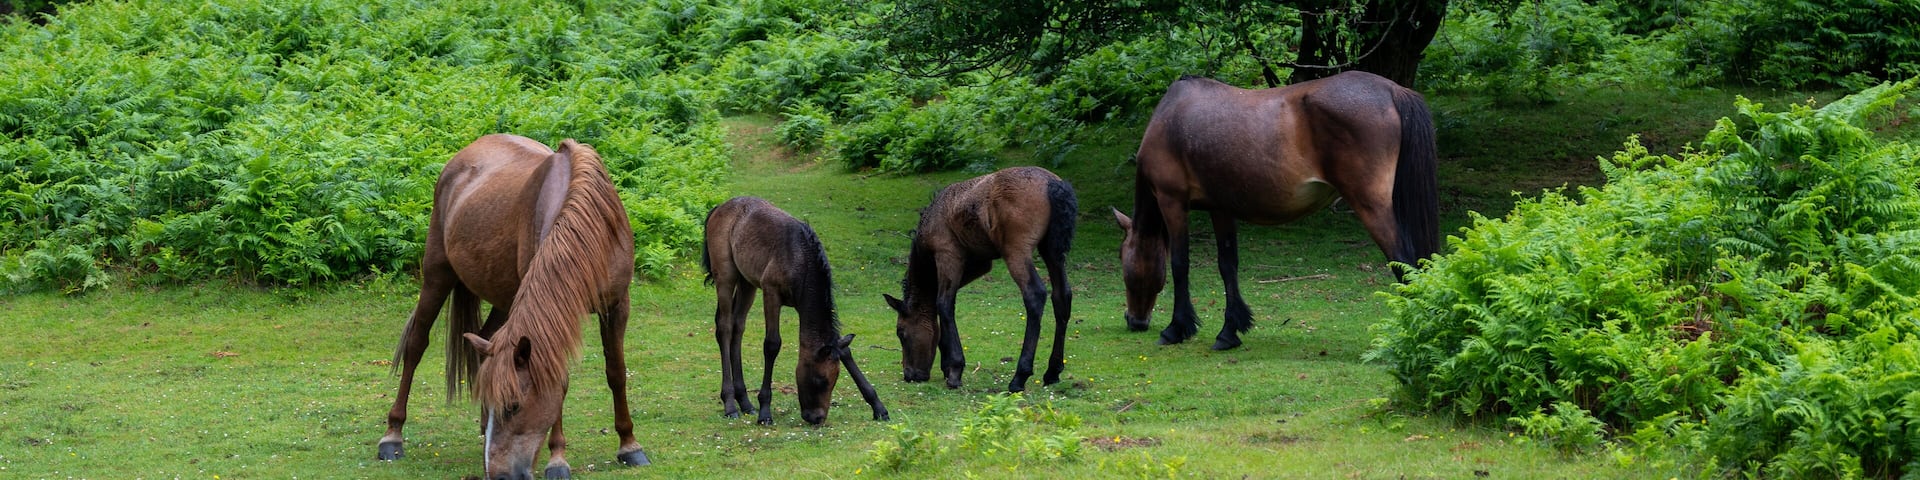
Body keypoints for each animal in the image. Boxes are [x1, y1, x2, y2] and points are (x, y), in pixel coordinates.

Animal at [375, 134, 650, 479]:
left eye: (513, 406)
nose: (499, 474)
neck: (590, 232)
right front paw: (557, 459)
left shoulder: (616, 305)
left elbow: (616, 372)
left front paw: (629, 444)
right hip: (437, 275)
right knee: (415, 345)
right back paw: (392, 436)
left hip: (505, 300)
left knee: (484, 341)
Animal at [700, 196, 889, 425]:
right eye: (820, 380)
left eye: (834, 380)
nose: (816, 418)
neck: (800, 259)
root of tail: (719, 207)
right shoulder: (771, 293)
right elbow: (772, 345)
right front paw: (765, 411)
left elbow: (844, 350)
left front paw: (878, 406)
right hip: (726, 274)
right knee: (725, 327)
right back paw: (730, 404)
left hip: (747, 282)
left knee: (738, 326)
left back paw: (744, 402)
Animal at [884, 166, 1078, 392]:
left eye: (901, 333)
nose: (910, 374)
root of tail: (1054, 185)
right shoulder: (981, 263)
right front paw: (946, 363)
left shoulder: (948, 254)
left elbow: (944, 303)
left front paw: (954, 368)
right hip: (1052, 250)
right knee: (1062, 296)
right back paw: (1052, 371)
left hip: (1016, 251)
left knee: (1035, 295)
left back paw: (1019, 377)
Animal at [1114, 70, 1439, 351]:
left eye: (1123, 260)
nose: (1135, 321)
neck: (1171, 117)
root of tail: (1392, 89)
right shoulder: (1220, 208)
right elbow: (1227, 265)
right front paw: (1230, 331)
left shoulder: (1172, 201)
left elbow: (1180, 264)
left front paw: (1175, 329)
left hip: (1371, 207)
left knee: (1403, 262)